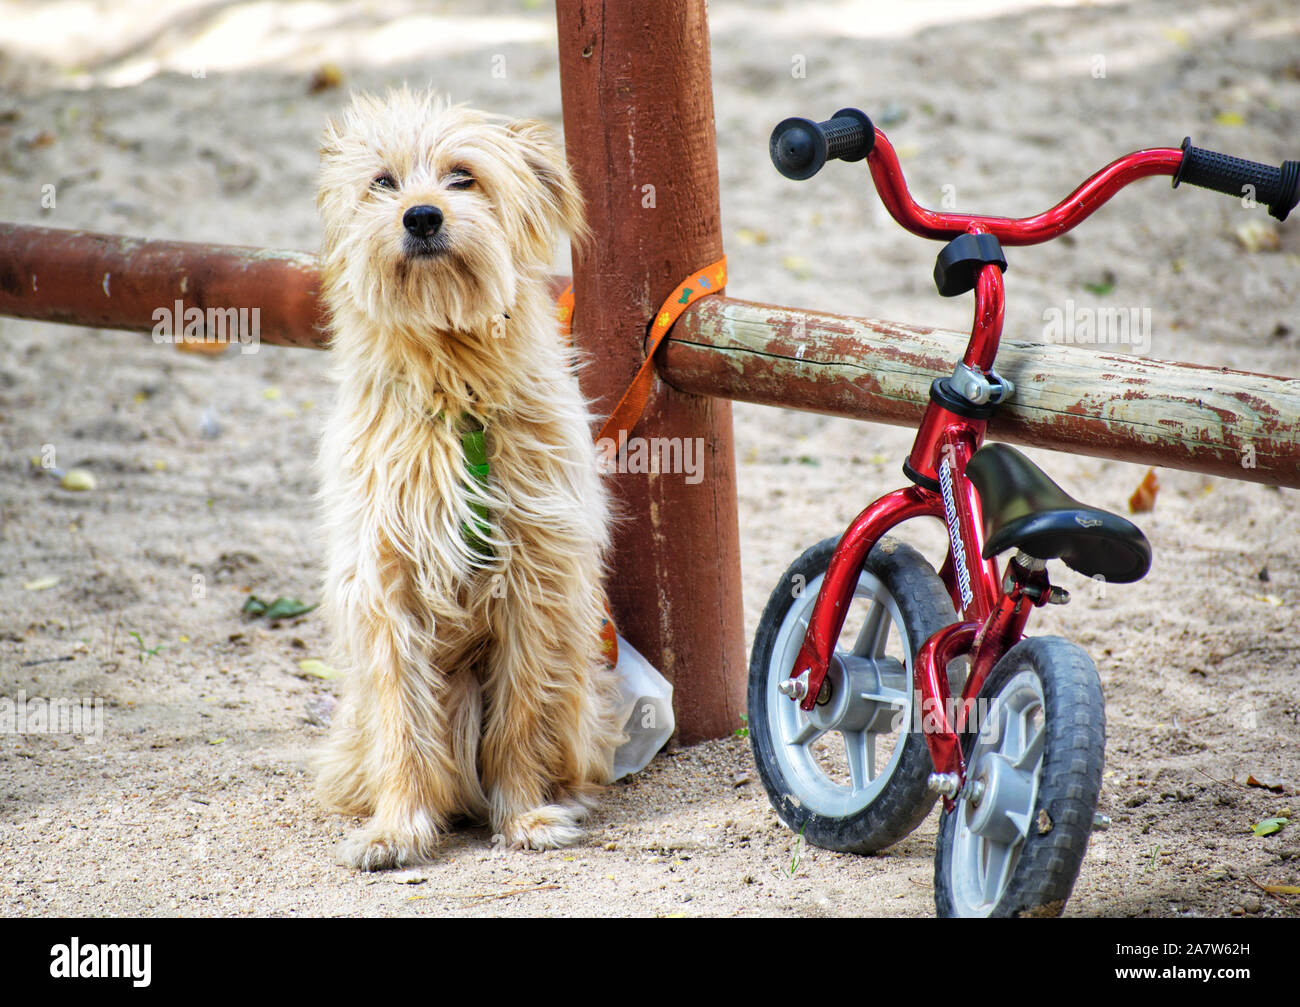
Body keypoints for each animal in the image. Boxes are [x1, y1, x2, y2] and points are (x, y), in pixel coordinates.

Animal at [312, 90, 621, 867]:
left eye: (463, 176)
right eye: (383, 182)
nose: (422, 216)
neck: (455, 389)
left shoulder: (535, 581)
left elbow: (521, 712)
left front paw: (527, 814)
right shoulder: (386, 582)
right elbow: (401, 717)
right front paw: (397, 826)